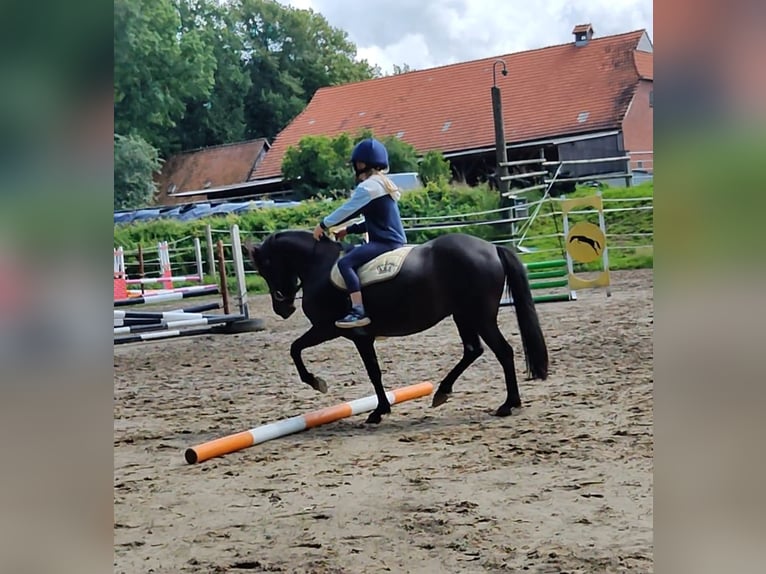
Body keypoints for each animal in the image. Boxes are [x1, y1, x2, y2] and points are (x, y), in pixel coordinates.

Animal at [243, 232, 548, 426]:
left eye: (265, 267)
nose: (282, 309)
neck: (319, 266)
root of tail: (491, 248)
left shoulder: (330, 329)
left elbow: (296, 349)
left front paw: (318, 383)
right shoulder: (361, 338)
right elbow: (374, 372)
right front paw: (381, 410)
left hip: (480, 316)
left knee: (503, 352)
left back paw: (508, 404)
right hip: (463, 315)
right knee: (473, 350)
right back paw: (442, 392)